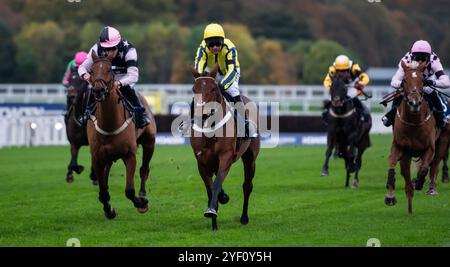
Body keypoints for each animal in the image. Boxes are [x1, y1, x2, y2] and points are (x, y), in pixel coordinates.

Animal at [87, 52, 157, 220]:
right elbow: (103, 191)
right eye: (91, 71)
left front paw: (141, 203)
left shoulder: (130, 154)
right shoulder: (97, 157)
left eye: (109, 70)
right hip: (108, 157)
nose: (98, 90)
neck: (109, 124)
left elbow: (129, 190)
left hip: (149, 141)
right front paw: (109, 210)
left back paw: (143, 196)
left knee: (144, 169)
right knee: (105, 179)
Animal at [189, 66, 260, 231]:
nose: (202, 115)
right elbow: (210, 189)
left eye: (213, 88)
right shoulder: (201, 161)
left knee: (247, 186)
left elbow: (216, 184)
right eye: (194, 89)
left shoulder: (226, 156)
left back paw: (244, 218)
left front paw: (211, 210)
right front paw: (214, 220)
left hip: (250, 158)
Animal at [384, 60, 436, 216]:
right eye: (404, 80)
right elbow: (392, 164)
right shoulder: (400, 147)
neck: (414, 123)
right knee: (405, 179)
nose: (414, 102)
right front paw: (390, 197)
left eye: (423, 80)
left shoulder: (430, 148)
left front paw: (419, 181)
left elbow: (424, 168)